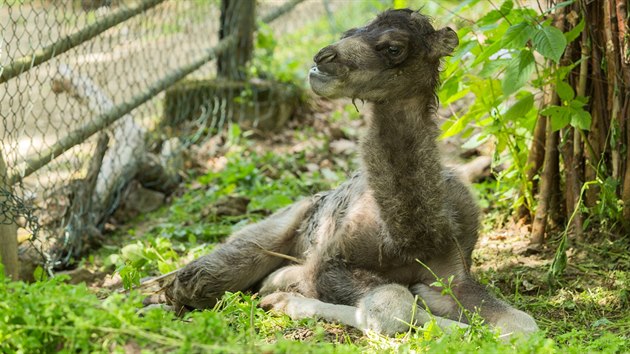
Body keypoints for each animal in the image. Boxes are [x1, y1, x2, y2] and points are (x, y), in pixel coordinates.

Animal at [163, 7, 540, 334]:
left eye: (393, 47)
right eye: (349, 32)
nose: (321, 59)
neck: (411, 241)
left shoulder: (454, 269)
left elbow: (523, 326)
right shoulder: (330, 264)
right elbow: (392, 303)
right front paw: (284, 299)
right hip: (265, 234)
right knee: (195, 280)